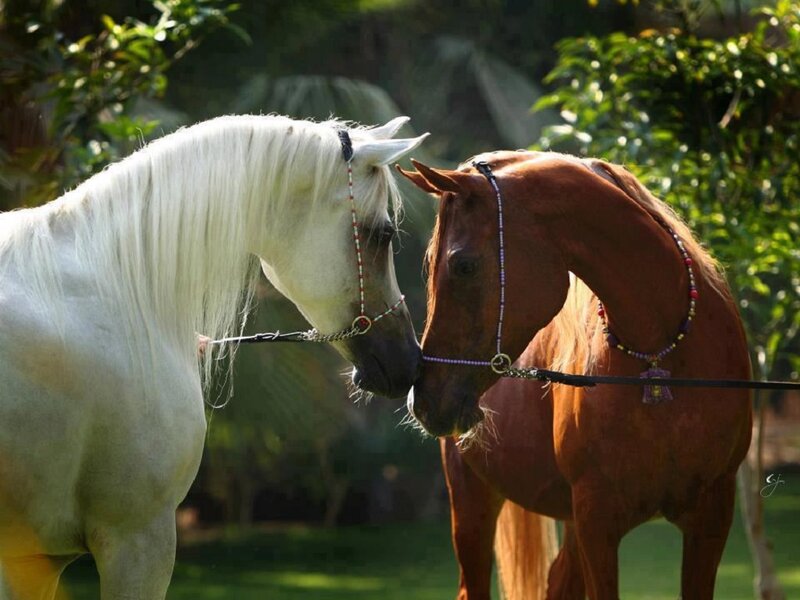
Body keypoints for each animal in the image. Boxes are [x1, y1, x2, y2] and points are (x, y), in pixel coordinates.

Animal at [399, 151, 752, 600]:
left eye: (462, 266)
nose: (424, 399)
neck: (661, 359)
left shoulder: (711, 515)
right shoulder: (596, 522)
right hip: (472, 502)